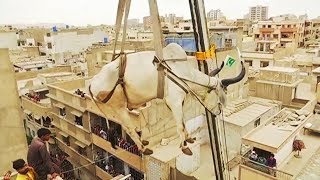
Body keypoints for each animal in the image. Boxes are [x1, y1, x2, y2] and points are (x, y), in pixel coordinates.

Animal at [89, 43, 246, 155]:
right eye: (220, 99)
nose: (218, 112)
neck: (183, 72)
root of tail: (92, 83)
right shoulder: (175, 102)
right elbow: (180, 126)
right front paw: (184, 147)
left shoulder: (177, 103)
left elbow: (182, 121)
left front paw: (188, 138)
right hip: (119, 107)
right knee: (129, 128)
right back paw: (144, 148)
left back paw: (143, 142)